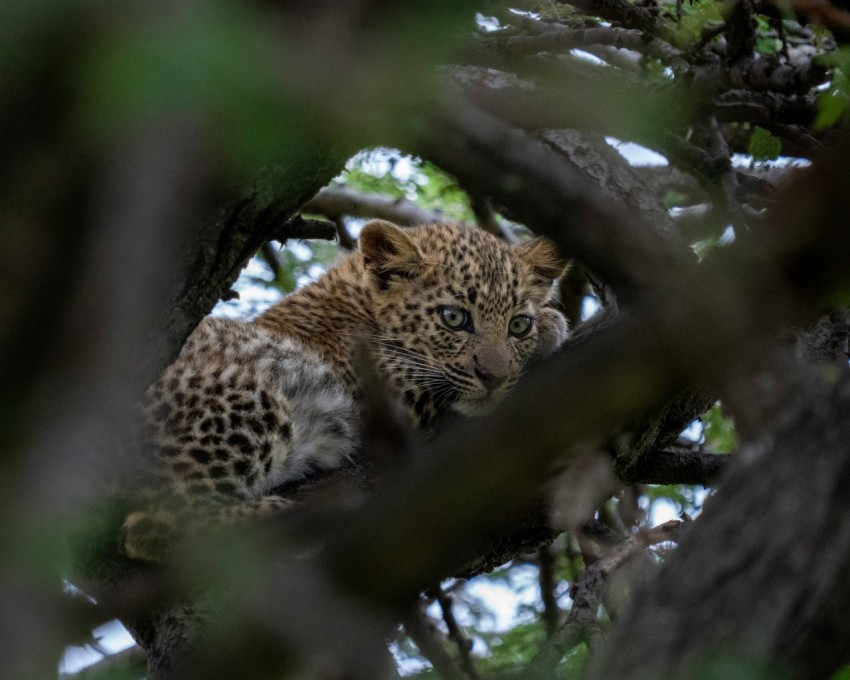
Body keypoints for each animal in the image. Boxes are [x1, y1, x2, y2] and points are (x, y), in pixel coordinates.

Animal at [124, 220, 568, 560]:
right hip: (254, 393)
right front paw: (553, 327)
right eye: (454, 318)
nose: (495, 378)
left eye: (517, 325)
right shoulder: (380, 392)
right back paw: (280, 521)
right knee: (151, 527)